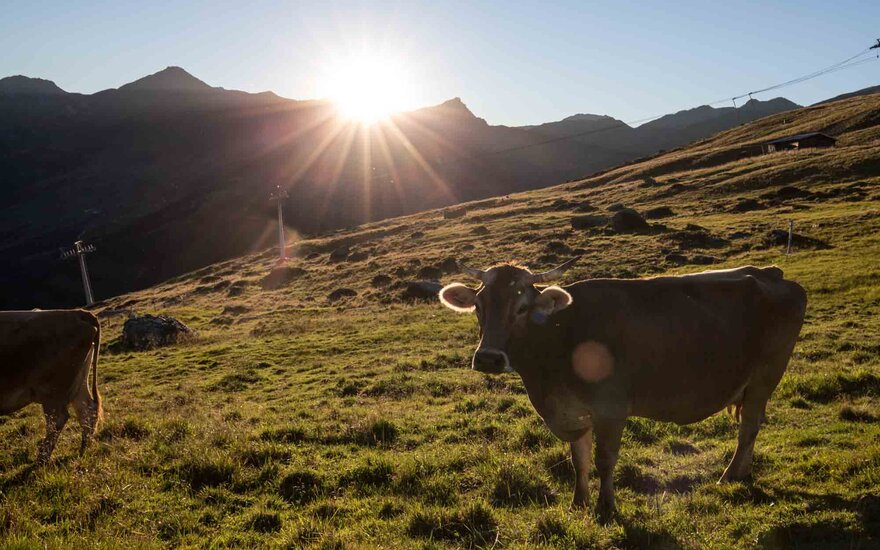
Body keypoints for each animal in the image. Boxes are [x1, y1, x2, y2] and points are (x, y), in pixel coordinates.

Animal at [0, 309, 103, 463]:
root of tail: (78, 312)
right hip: (78, 383)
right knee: (86, 409)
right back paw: (83, 449)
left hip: (52, 391)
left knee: (58, 419)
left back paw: (42, 458)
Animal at [438, 259, 806, 521]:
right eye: (478, 305)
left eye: (523, 307)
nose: (488, 358)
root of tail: (769, 272)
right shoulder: (573, 412)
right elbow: (579, 459)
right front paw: (579, 503)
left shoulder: (610, 408)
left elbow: (604, 460)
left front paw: (606, 508)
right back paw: (742, 472)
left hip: (765, 376)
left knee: (749, 428)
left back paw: (730, 475)